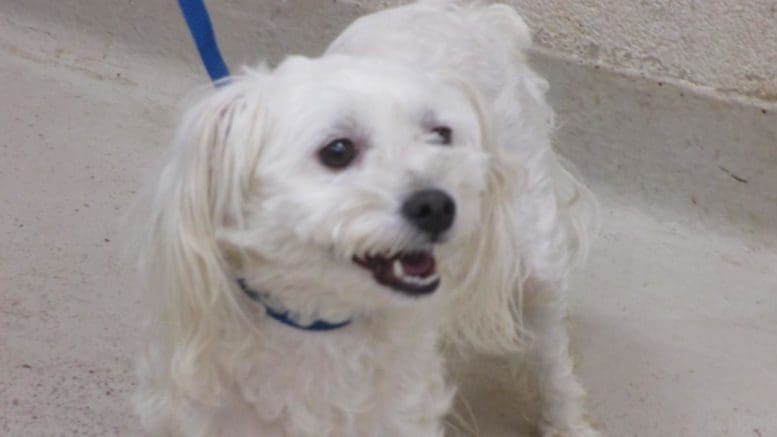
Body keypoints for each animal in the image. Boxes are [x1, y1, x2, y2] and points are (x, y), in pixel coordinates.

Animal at [135, 1, 596, 434]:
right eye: (338, 151)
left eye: (440, 135)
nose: (438, 206)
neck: (321, 327)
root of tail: (470, 14)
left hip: (537, 259)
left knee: (553, 356)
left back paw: (567, 422)